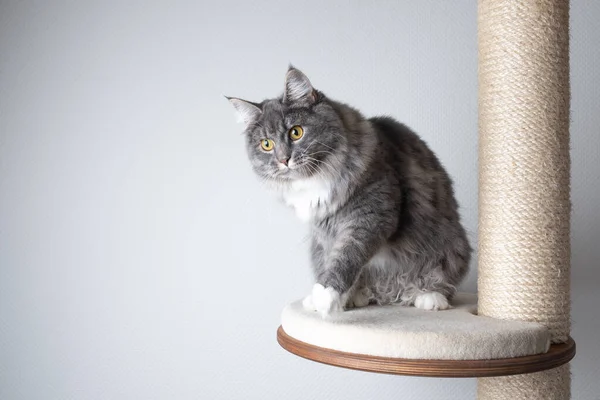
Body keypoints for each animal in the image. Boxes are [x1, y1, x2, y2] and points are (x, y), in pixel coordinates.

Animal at [227, 65, 472, 316]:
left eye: (296, 132)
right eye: (267, 145)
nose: (283, 159)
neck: (315, 179)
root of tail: (390, 294)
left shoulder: (371, 215)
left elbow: (347, 257)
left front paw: (326, 296)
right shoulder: (324, 233)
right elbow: (333, 259)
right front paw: (329, 298)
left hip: (451, 249)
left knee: (440, 283)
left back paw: (428, 297)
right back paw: (357, 297)